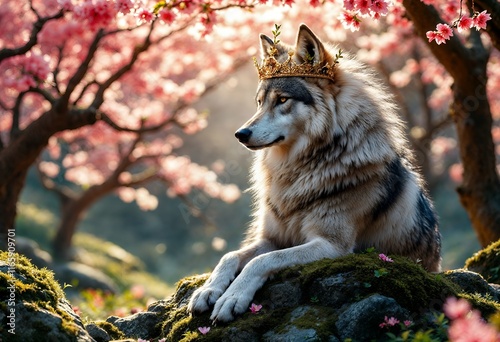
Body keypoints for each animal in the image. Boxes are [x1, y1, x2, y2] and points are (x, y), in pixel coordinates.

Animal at [188, 24, 442, 324]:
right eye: (259, 102)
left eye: (282, 100)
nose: (240, 134)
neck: (299, 170)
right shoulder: (273, 238)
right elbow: (229, 255)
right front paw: (208, 290)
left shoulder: (332, 246)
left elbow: (262, 261)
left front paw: (232, 297)